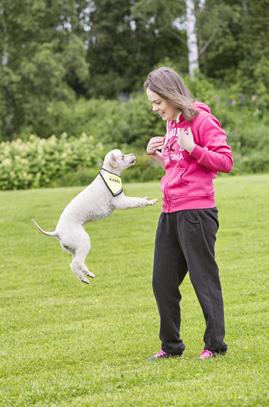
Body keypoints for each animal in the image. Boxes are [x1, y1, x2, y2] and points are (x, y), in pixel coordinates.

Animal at [32, 148, 156, 286]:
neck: (110, 172)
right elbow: (135, 202)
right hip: (83, 242)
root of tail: (57, 232)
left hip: (73, 249)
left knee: (77, 263)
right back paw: (84, 278)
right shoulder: (120, 202)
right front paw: (149, 202)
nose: (134, 154)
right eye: (123, 157)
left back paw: (87, 274)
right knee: (75, 264)